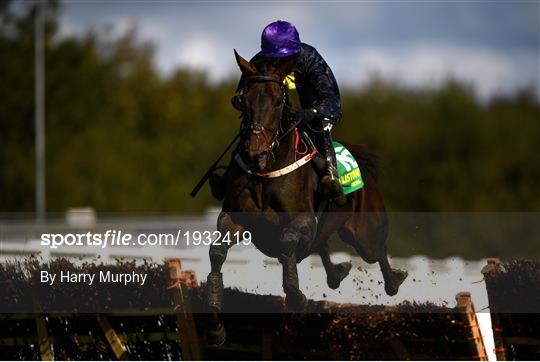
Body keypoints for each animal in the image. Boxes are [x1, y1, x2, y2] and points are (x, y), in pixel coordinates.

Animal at [205, 50, 408, 346]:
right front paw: (215, 321)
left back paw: (394, 280)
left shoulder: (302, 220)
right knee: (323, 245)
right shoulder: (235, 218)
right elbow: (218, 251)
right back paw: (337, 273)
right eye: (243, 100)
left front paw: (296, 296)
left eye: (278, 101)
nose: (255, 152)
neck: (265, 170)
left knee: (378, 250)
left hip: (365, 232)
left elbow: (287, 241)